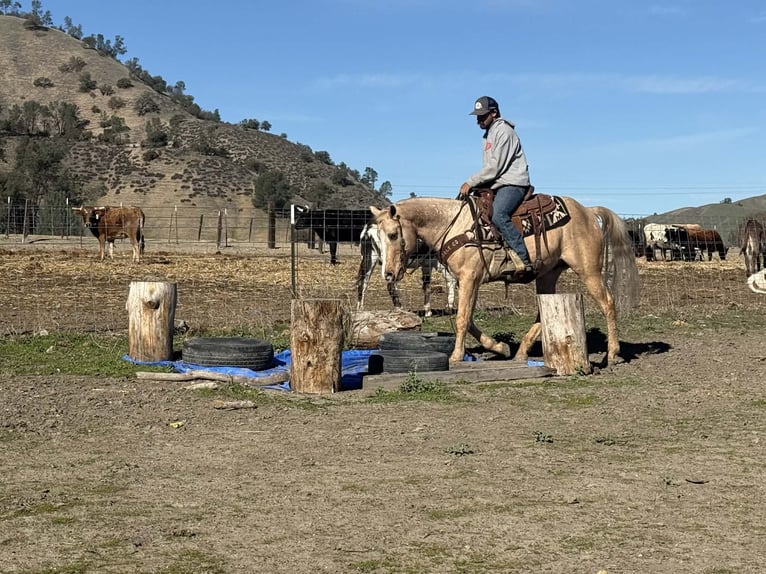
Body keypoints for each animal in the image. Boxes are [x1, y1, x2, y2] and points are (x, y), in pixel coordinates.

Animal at [370, 194, 640, 365]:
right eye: (377, 237)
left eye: (393, 235)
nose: (389, 274)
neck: (455, 225)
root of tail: (588, 211)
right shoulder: (469, 281)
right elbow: (469, 319)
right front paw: (500, 347)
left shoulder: (469, 278)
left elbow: (462, 319)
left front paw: (456, 356)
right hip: (548, 274)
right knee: (542, 311)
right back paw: (521, 352)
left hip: (588, 270)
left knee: (607, 303)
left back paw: (612, 354)